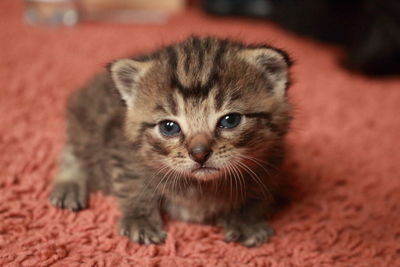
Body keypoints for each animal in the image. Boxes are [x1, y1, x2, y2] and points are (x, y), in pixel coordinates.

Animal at [50, 36, 294, 248]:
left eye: (230, 120)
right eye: (169, 127)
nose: (199, 153)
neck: (201, 185)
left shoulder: (271, 159)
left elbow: (256, 192)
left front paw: (246, 220)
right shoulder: (120, 148)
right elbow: (133, 183)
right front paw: (140, 220)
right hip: (84, 126)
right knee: (72, 153)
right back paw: (69, 185)